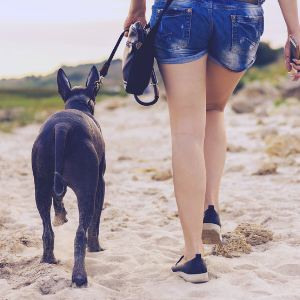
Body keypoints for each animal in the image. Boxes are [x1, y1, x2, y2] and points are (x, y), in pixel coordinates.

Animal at [31, 65, 105, 286]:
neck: (79, 106)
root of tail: (62, 126)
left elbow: (58, 199)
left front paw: (61, 215)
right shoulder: (100, 183)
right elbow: (95, 224)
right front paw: (96, 248)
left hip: (41, 185)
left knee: (47, 231)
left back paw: (48, 259)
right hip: (87, 189)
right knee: (81, 232)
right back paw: (79, 276)